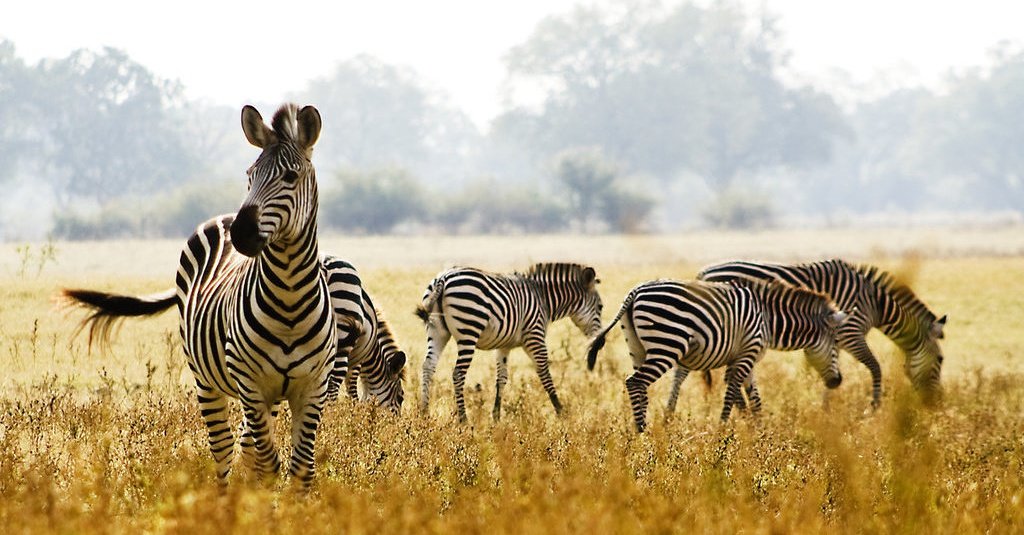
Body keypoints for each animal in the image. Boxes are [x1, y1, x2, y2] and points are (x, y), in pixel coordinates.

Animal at [62, 104, 338, 486]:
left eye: (290, 177)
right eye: (250, 175)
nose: (242, 233)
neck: (290, 299)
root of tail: (222, 217)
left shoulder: (313, 387)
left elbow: (301, 469)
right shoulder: (250, 383)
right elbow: (268, 463)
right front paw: (262, 504)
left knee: (245, 447)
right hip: (207, 380)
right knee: (223, 449)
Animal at [322, 255, 406, 413]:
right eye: (400, 397)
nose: (399, 420)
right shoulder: (357, 360)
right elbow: (353, 390)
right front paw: (353, 412)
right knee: (332, 387)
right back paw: (330, 416)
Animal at [415, 263, 603, 422]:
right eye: (601, 307)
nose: (600, 343)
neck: (543, 298)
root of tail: (443, 278)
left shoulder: (504, 346)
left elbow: (501, 379)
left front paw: (496, 417)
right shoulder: (534, 336)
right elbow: (544, 373)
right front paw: (561, 412)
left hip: (437, 331)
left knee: (428, 366)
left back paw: (425, 413)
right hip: (469, 330)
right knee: (458, 373)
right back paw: (463, 420)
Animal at [586, 279, 847, 432]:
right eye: (836, 342)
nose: (837, 382)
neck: (767, 318)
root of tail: (635, 291)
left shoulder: (746, 355)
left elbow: (754, 396)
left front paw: (759, 430)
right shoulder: (746, 354)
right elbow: (733, 391)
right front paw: (723, 430)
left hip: (637, 348)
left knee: (640, 386)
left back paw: (640, 431)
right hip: (668, 343)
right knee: (635, 382)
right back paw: (642, 431)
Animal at [689, 259, 947, 409]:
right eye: (941, 360)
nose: (936, 404)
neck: (875, 304)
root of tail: (702, 273)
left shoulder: (836, 339)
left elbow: (830, 370)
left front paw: (825, 409)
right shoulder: (851, 333)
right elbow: (875, 367)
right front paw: (874, 406)